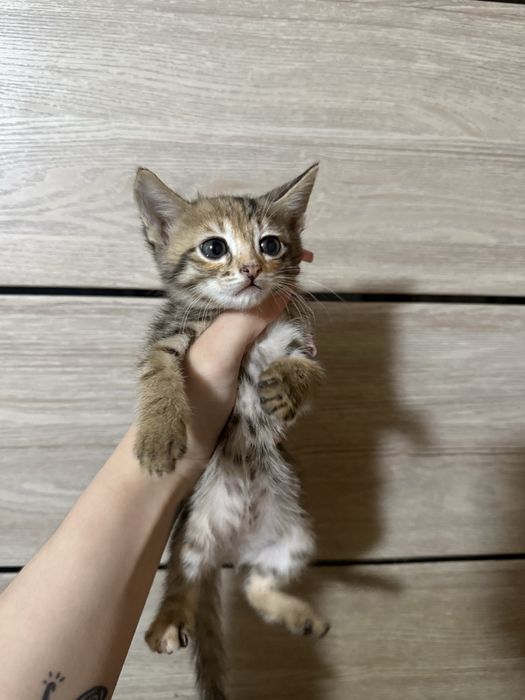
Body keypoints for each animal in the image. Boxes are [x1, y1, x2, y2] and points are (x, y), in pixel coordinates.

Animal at [133, 163, 329, 700]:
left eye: (270, 244)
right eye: (214, 247)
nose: (252, 270)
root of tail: (233, 543)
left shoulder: (295, 338)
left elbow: (309, 371)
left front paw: (288, 386)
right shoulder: (167, 338)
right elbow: (158, 375)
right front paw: (158, 437)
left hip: (293, 539)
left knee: (254, 583)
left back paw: (296, 614)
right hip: (193, 530)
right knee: (183, 578)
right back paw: (165, 624)